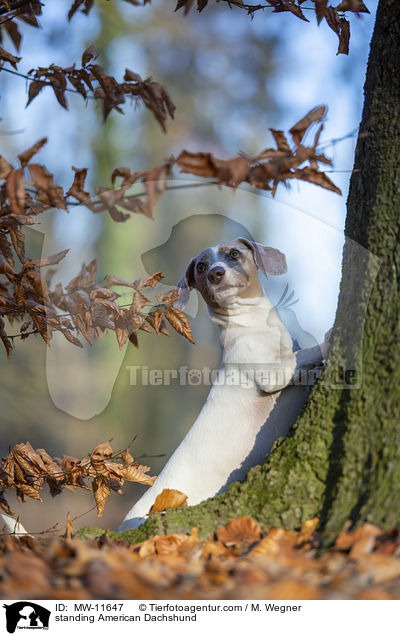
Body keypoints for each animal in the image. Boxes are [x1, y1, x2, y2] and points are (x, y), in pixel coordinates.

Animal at [117, 236, 330, 528]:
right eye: (201, 266)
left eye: (234, 253)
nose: (215, 273)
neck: (253, 325)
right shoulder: (273, 373)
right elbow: (305, 354)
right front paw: (330, 338)